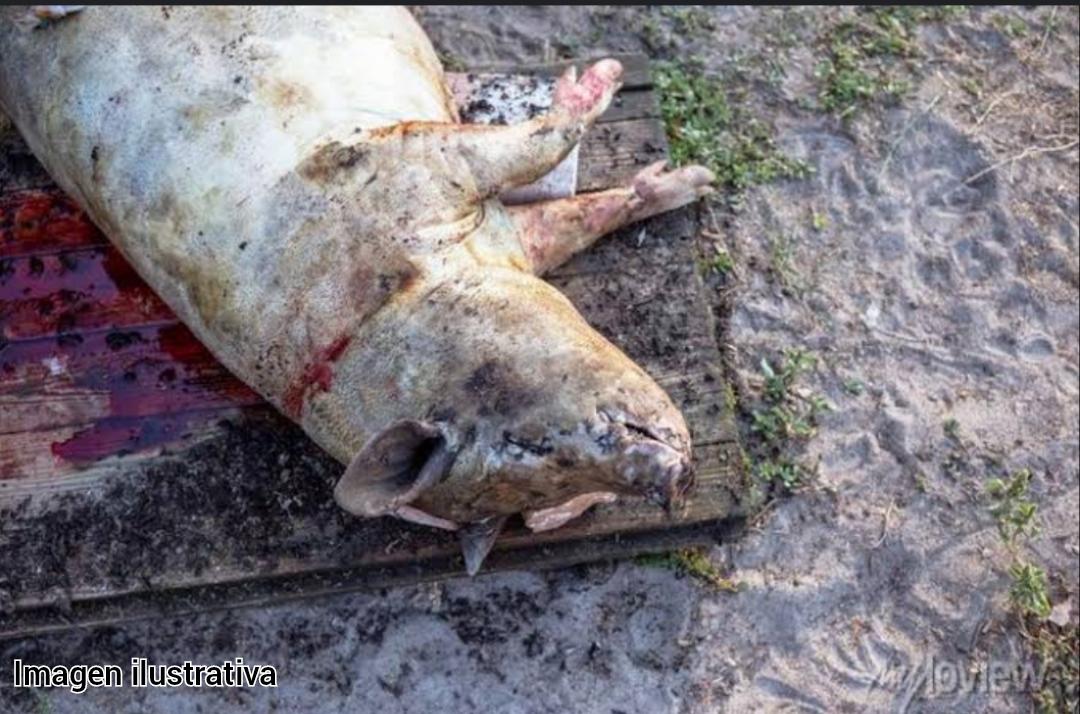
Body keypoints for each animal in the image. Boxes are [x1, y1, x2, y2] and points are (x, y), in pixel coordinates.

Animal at [0, 6, 713, 573]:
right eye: (528, 451)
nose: (676, 484)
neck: (379, 309)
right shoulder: (415, 167)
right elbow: (543, 144)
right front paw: (607, 87)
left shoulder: (409, 172)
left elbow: (564, 190)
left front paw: (685, 178)